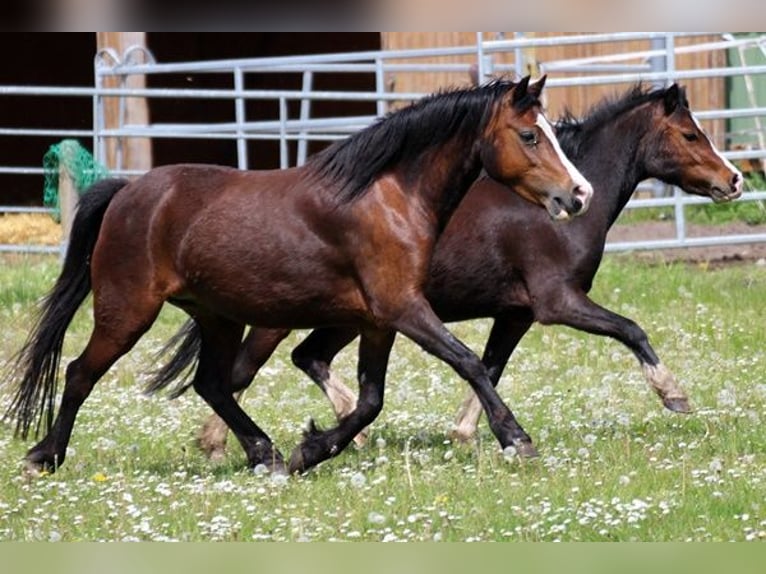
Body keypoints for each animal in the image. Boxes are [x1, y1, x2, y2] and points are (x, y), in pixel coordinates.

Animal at [3, 75, 596, 476]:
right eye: (529, 136)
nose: (579, 194)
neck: (389, 197)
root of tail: (128, 191)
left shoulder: (379, 320)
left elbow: (370, 400)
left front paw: (309, 451)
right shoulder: (403, 308)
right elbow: (469, 362)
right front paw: (516, 438)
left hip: (217, 316)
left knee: (212, 383)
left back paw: (264, 454)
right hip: (127, 311)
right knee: (80, 373)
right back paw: (43, 456)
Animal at [153, 83, 748, 462]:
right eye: (691, 135)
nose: (736, 180)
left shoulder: (516, 313)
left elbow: (489, 366)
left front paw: (468, 431)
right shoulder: (557, 303)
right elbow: (631, 330)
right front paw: (674, 396)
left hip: (352, 317)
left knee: (305, 359)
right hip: (281, 318)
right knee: (240, 374)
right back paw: (229, 445)